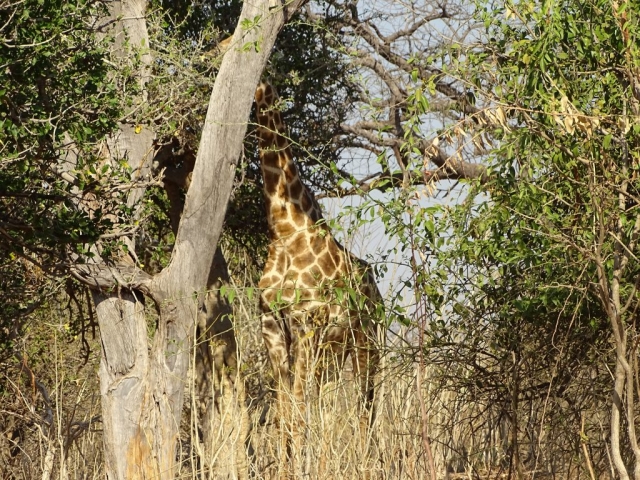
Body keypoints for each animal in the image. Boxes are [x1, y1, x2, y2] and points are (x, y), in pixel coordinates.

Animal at [254, 81, 381, 466]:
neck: (284, 227)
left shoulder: (306, 323)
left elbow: (296, 412)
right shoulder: (272, 326)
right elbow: (284, 415)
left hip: (368, 343)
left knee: (366, 408)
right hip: (334, 353)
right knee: (328, 406)